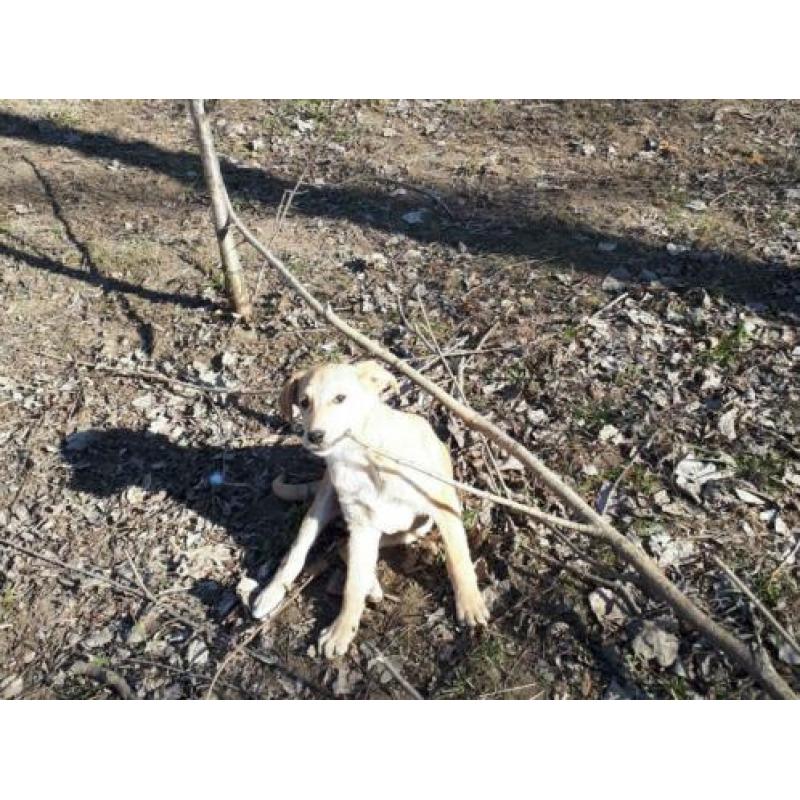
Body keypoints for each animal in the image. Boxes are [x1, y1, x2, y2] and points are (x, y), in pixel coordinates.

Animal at [252, 360, 488, 656]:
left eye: (340, 398)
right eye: (304, 402)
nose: (314, 436)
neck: (366, 459)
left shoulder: (442, 505)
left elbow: (458, 559)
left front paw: (470, 604)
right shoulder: (362, 527)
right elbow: (352, 585)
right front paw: (342, 629)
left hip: (417, 526)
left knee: (348, 547)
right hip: (325, 507)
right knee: (304, 552)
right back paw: (272, 592)